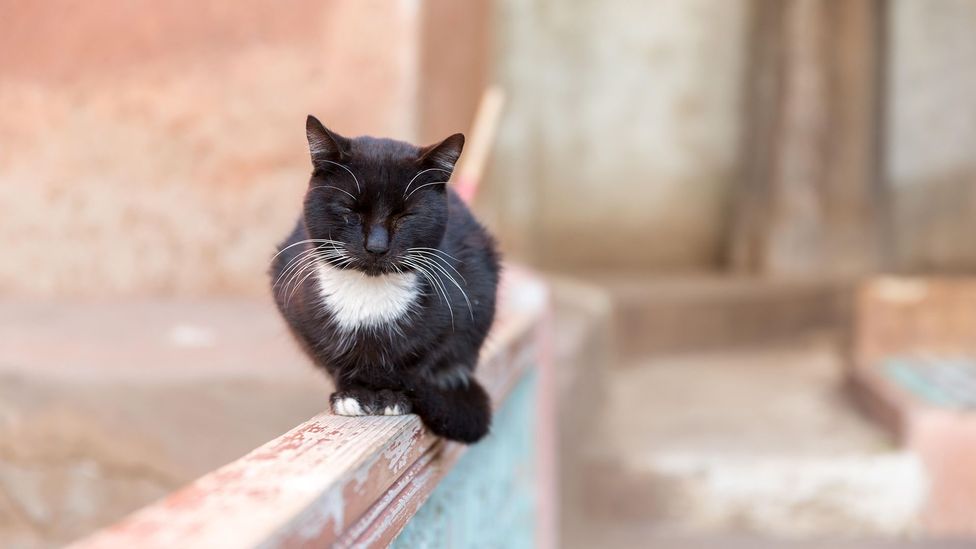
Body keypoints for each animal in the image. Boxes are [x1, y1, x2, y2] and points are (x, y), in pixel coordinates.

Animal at [272, 114, 504, 440]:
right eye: (350, 211)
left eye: (405, 216)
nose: (377, 246)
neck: (368, 295)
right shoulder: (294, 302)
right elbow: (332, 359)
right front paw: (352, 395)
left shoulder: (463, 302)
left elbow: (419, 358)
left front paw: (393, 397)